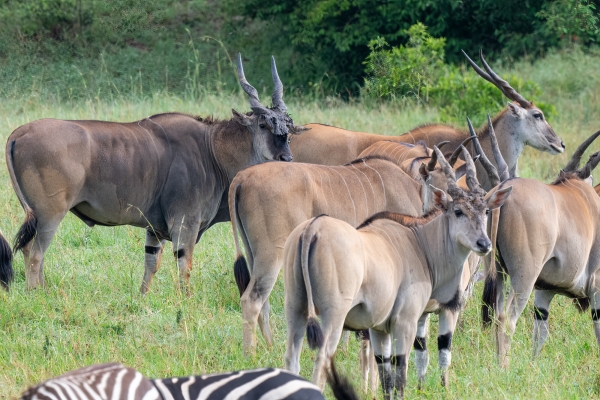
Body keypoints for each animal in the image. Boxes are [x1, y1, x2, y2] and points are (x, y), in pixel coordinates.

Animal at [284, 147, 508, 396]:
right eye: (458, 211)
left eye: (486, 210)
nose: (484, 244)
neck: (419, 241)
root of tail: (313, 228)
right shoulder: (409, 322)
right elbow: (404, 372)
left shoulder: (380, 329)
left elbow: (387, 377)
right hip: (334, 317)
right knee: (323, 359)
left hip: (296, 310)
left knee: (292, 359)